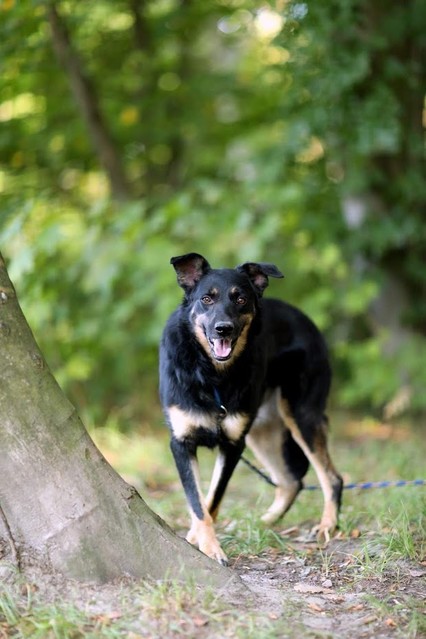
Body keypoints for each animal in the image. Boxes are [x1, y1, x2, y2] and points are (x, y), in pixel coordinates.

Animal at [160, 254, 342, 564]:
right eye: (206, 299)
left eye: (241, 299)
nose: (223, 328)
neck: (211, 373)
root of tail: (305, 319)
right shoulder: (182, 443)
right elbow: (198, 502)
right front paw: (204, 542)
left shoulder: (233, 445)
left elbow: (212, 499)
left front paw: (204, 544)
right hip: (261, 432)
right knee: (290, 481)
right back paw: (263, 522)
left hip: (300, 416)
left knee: (332, 478)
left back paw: (327, 525)